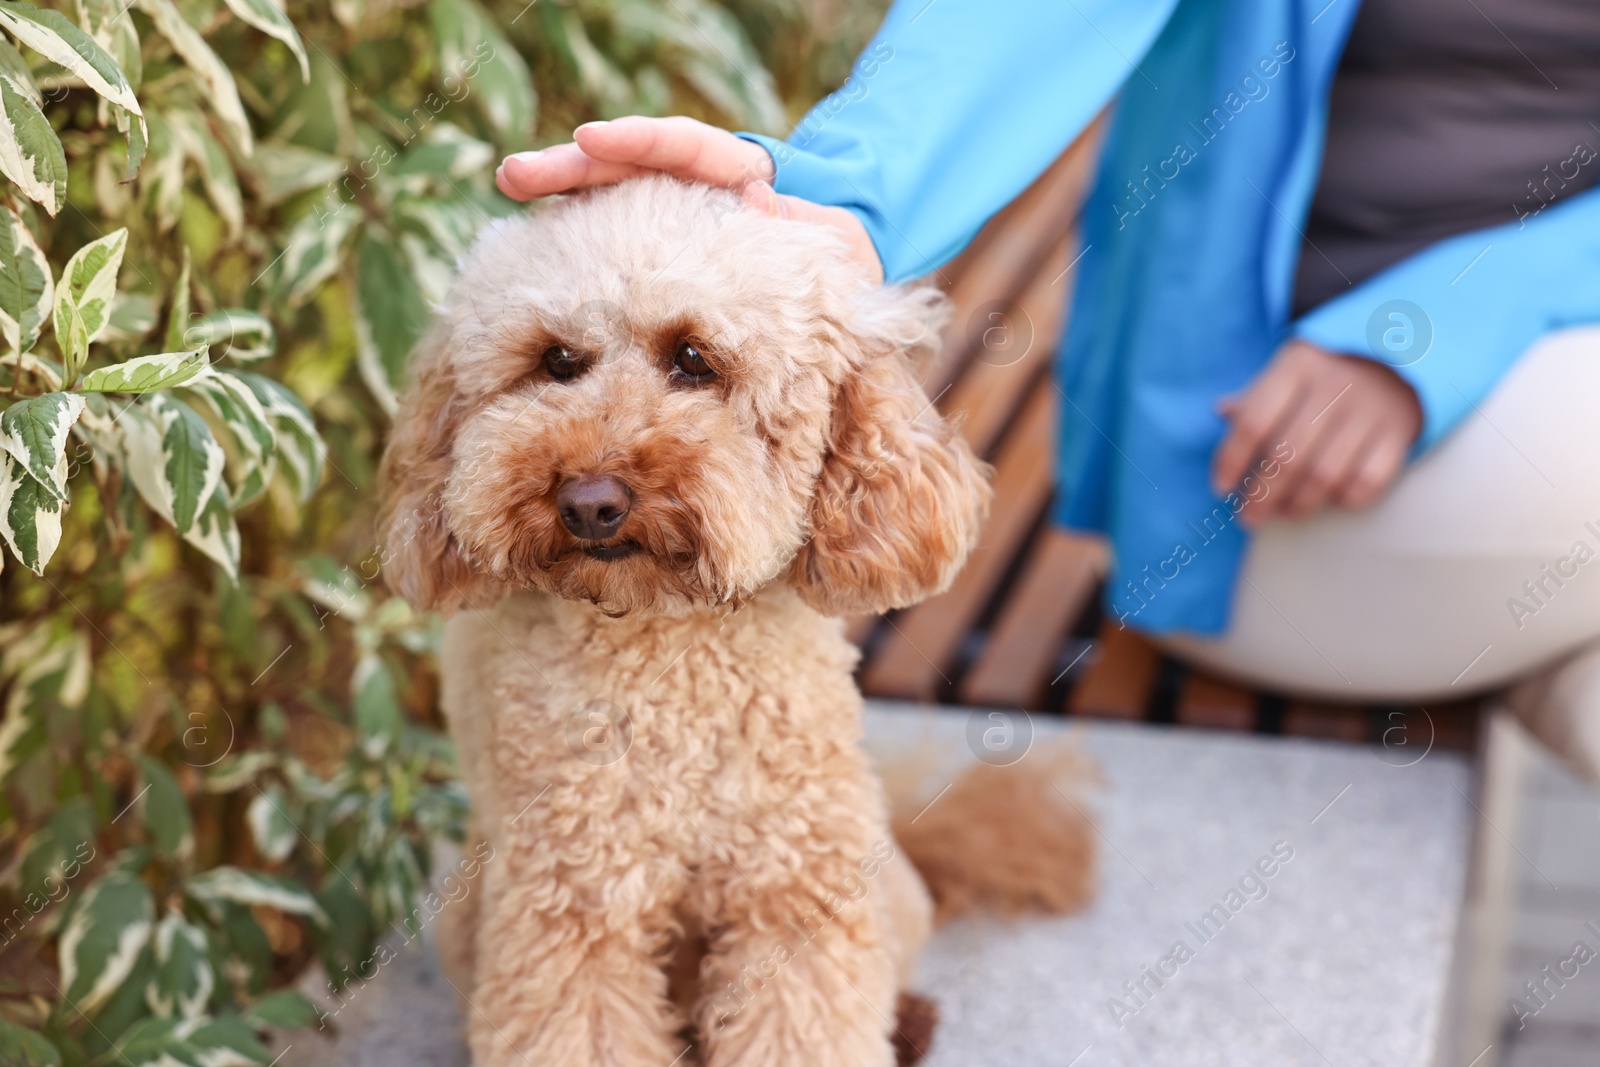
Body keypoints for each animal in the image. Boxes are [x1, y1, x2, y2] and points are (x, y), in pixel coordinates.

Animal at [380, 177, 1094, 1067]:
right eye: (557, 361)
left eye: (694, 359)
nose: (590, 501)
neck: (666, 647)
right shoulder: (572, 897)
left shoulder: (796, 880)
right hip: (470, 912)